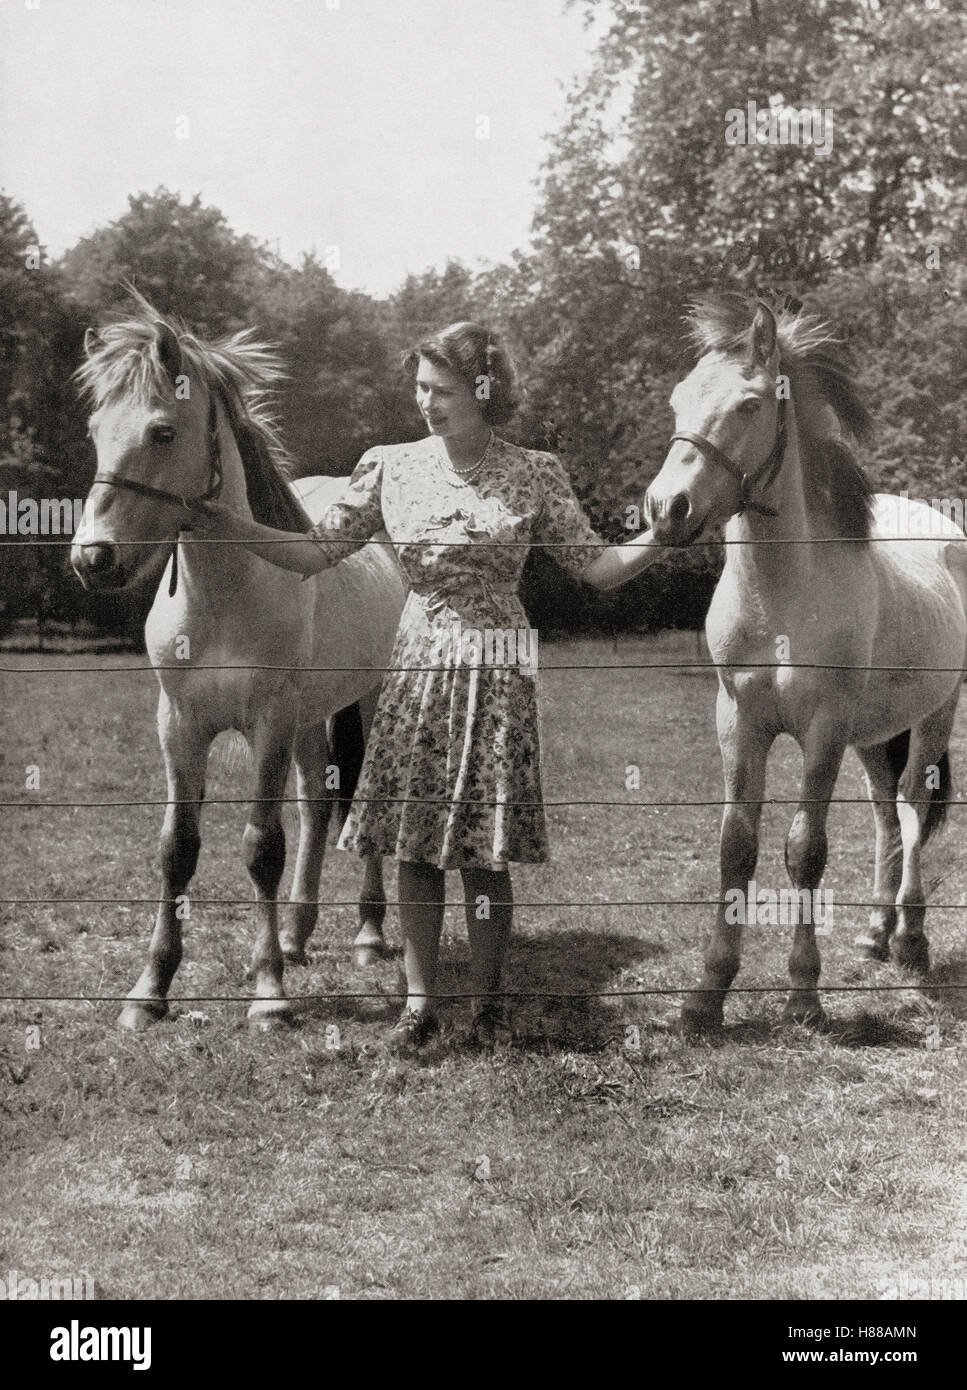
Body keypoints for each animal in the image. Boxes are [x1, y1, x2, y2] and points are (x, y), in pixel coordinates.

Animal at [70, 301, 402, 1023]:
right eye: (94, 430)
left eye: (162, 431)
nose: (92, 558)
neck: (223, 595)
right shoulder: (179, 725)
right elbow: (177, 849)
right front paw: (151, 989)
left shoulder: (269, 720)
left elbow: (261, 848)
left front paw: (268, 992)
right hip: (309, 717)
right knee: (315, 806)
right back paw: (301, 936)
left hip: (364, 700)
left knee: (359, 805)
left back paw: (366, 933)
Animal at [641, 296, 967, 1034]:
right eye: (677, 400)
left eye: (749, 405)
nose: (666, 508)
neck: (783, 598)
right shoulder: (738, 721)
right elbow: (736, 846)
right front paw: (707, 994)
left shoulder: (823, 729)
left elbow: (805, 850)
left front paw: (803, 994)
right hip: (874, 735)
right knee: (883, 813)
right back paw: (875, 933)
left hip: (933, 715)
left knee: (910, 803)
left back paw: (910, 940)